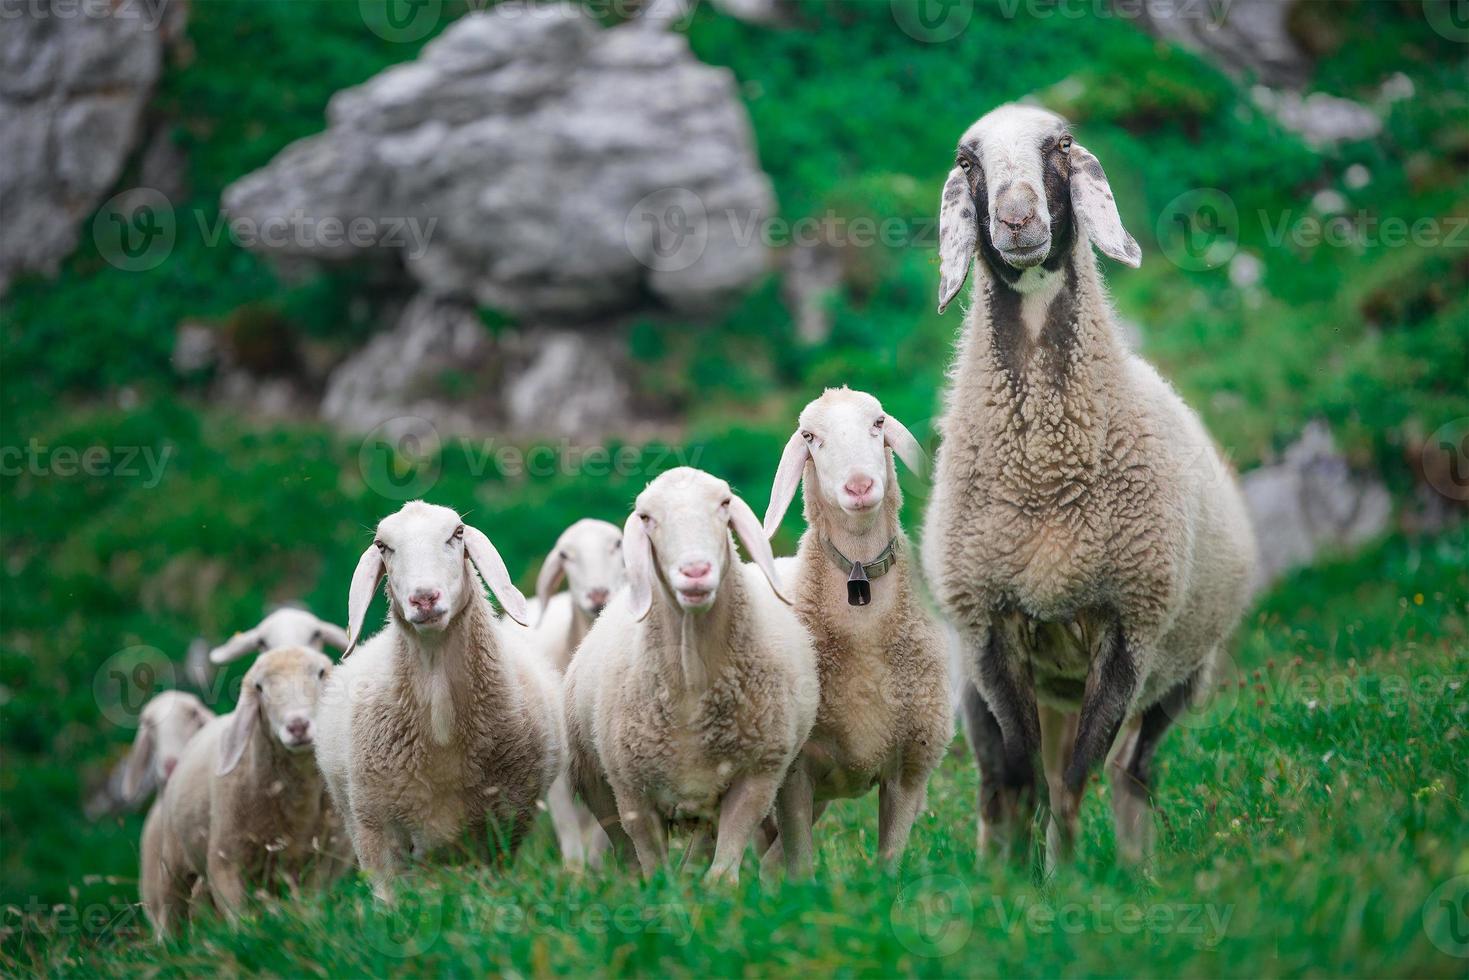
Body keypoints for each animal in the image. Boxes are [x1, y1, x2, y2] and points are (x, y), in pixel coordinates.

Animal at [139, 646, 336, 940]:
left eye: (321, 673)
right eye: (260, 687)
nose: (298, 726)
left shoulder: (326, 860)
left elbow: (312, 906)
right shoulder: (224, 863)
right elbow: (241, 921)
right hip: (172, 863)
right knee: (171, 911)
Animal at [561, 464, 822, 887]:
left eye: (725, 503)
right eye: (646, 517)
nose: (696, 572)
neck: (692, 680)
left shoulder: (756, 778)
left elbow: (721, 874)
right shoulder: (633, 795)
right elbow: (653, 870)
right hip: (598, 784)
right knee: (626, 855)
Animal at [758, 387, 951, 875]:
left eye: (879, 423)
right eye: (810, 437)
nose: (860, 487)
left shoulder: (909, 771)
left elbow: (889, 865)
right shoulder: (795, 777)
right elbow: (801, 866)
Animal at [922, 101, 1257, 863]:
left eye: (1063, 143)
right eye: (966, 160)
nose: (1017, 219)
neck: (1044, 468)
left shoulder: (1128, 627)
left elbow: (1074, 784)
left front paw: (1066, 875)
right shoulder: (990, 632)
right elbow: (1022, 782)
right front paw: (1013, 879)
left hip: (1181, 672)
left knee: (1131, 771)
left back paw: (1135, 868)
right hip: (989, 683)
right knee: (1000, 780)